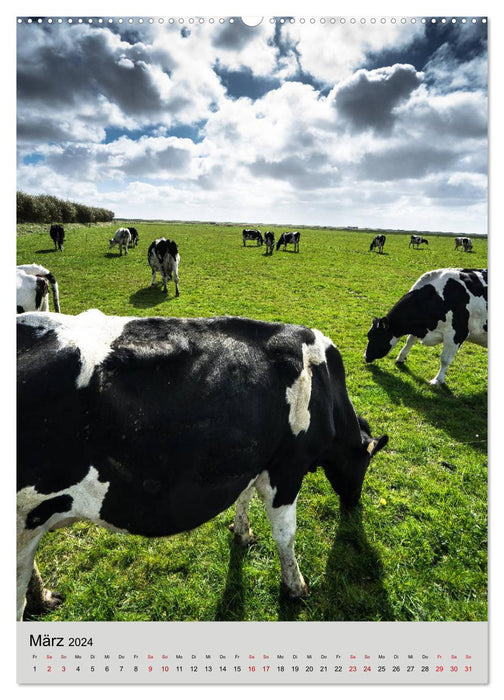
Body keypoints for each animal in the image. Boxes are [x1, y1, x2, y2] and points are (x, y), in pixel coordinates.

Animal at [15, 312, 386, 616]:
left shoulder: (250, 458)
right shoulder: (287, 467)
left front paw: (242, 532)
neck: (325, 383)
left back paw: (41, 598)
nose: (354, 502)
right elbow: (286, 535)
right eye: (365, 464)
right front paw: (296, 587)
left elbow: (243, 497)